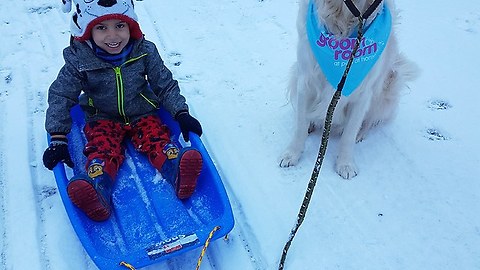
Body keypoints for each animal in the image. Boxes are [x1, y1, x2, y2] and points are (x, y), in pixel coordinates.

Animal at [280, 0, 418, 179]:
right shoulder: (305, 80)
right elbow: (300, 126)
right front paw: (292, 154)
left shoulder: (363, 92)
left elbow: (349, 133)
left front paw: (345, 164)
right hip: (294, 76)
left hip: (388, 88)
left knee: (368, 121)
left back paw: (360, 133)